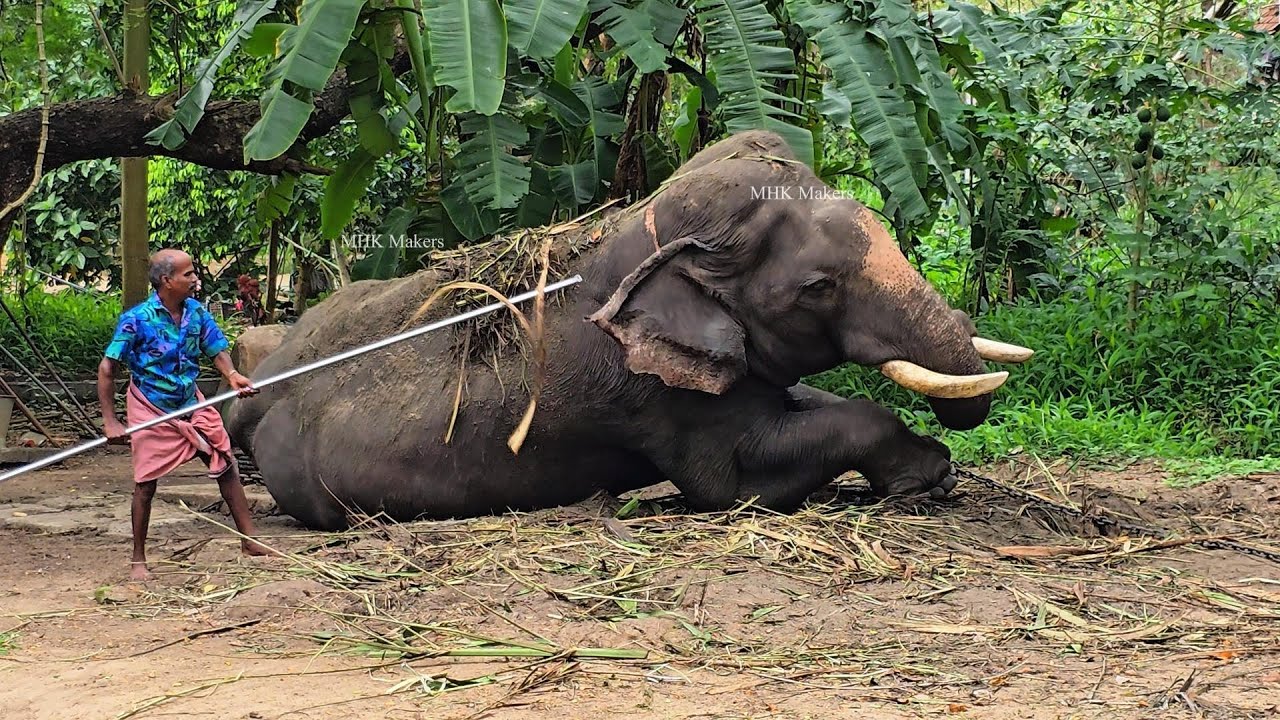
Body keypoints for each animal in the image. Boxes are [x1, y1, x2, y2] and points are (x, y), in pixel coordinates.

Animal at [224, 130, 1032, 531]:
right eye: (819, 287)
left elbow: (808, 403)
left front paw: (927, 472)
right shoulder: (648, 394)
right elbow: (734, 483)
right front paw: (928, 475)